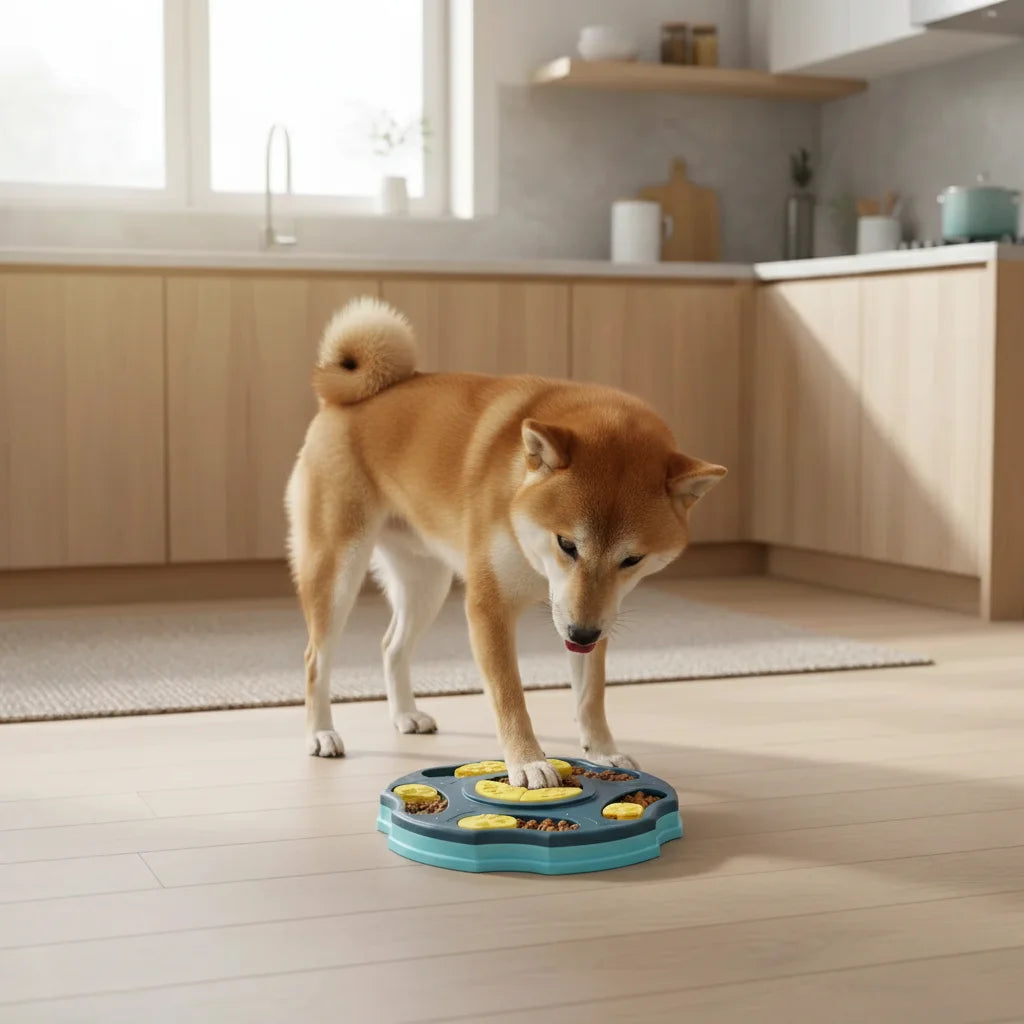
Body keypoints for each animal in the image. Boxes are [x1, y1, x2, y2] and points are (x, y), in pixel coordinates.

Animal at [286, 297, 726, 789]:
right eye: (567, 544)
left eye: (631, 559)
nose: (581, 634)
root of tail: (343, 398)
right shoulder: (490, 606)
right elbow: (509, 694)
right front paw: (528, 761)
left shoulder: (596, 612)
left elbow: (590, 694)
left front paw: (603, 751)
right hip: (338, 568)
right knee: (315, 657)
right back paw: (321, 733)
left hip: (426, 583)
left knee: (391, 645)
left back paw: (405, 715)